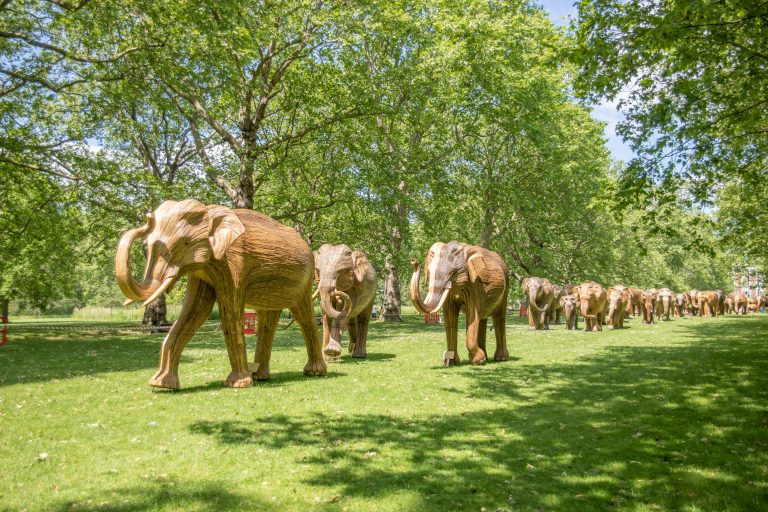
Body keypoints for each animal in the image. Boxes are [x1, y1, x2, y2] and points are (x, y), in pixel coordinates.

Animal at [115, 199, 326, 390]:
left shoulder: (234, 264)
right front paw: (161, 385)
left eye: (185, 243)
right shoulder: (202, 270)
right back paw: (260, 376)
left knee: (304, 317)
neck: (210, 210)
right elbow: (195, 312)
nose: (146, 219)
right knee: (268, 318)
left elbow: (229, 312)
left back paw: (314, 373)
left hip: (304, 283)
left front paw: (237, 384)